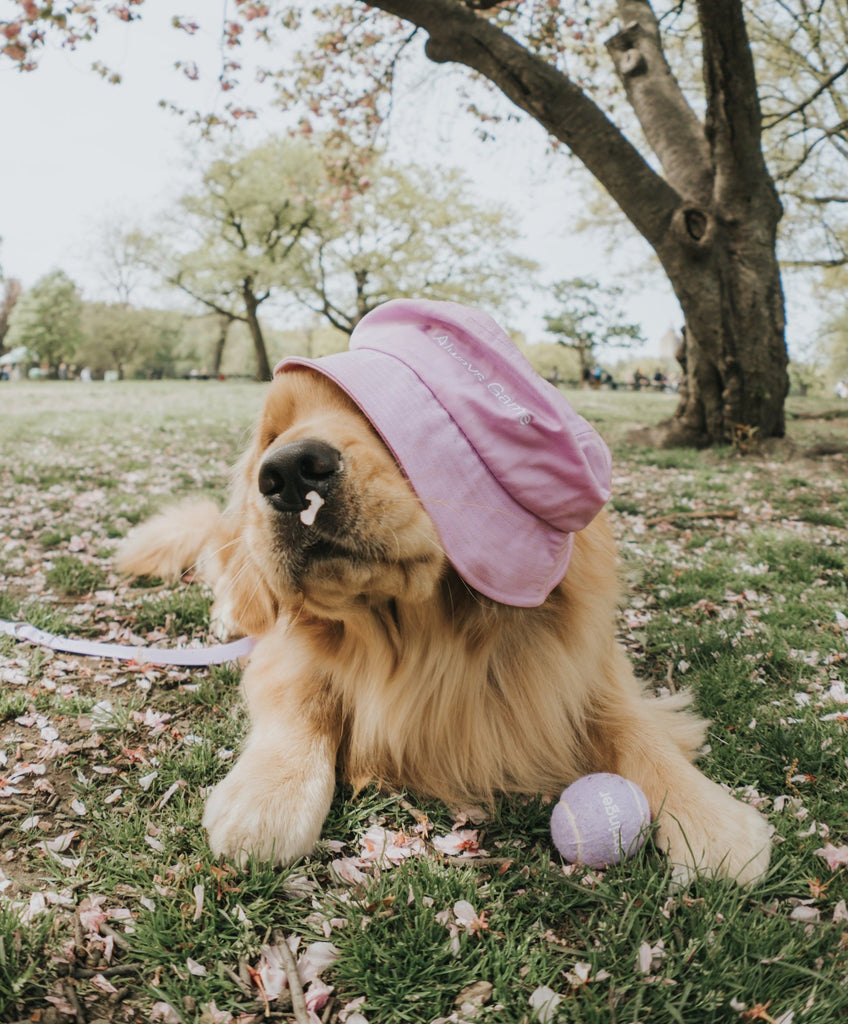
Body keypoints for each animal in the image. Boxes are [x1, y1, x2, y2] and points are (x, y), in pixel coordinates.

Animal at [115, 299, 770, 888]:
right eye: (274, 433)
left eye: (377, 422)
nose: (288, 472)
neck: (418, 635)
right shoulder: (286, 649)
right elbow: (304, 699)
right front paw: (268, 795)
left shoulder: (591, 666)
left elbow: (635, 728)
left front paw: (712, 817)